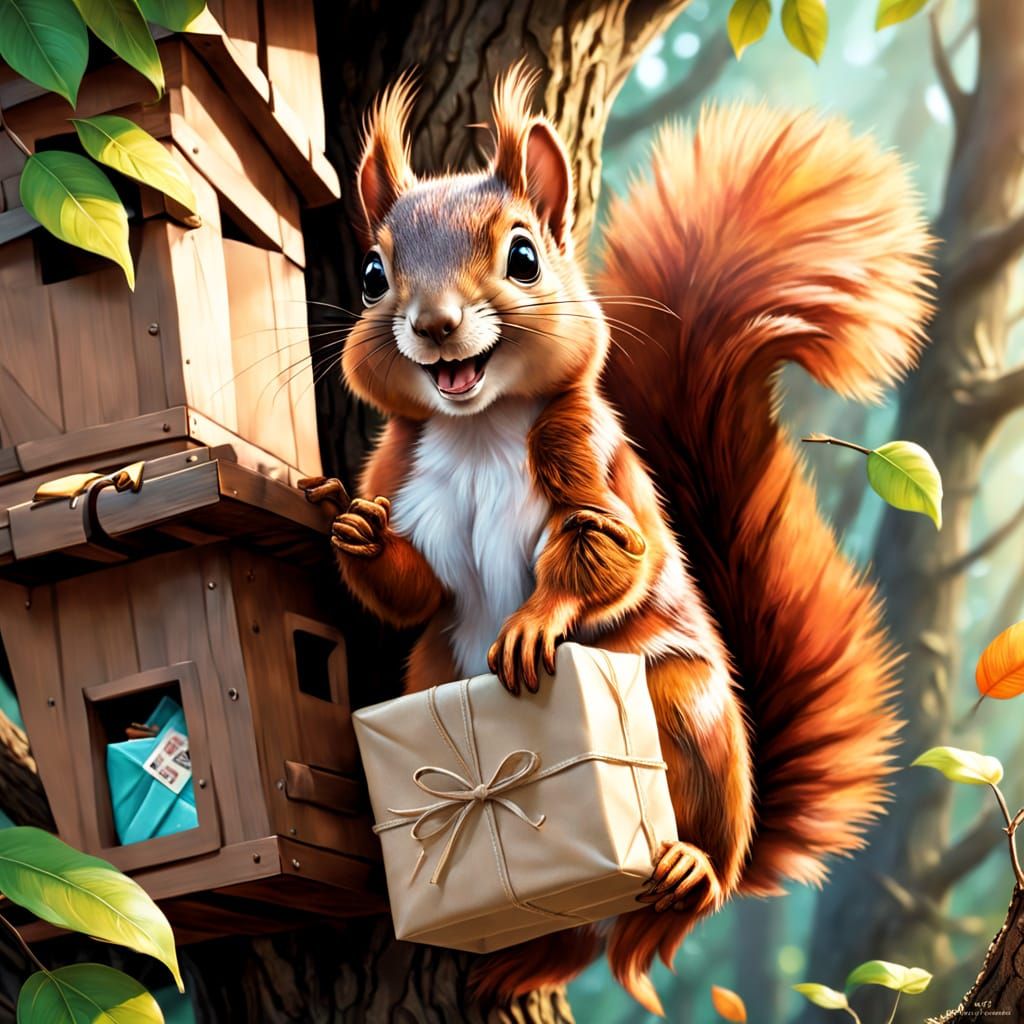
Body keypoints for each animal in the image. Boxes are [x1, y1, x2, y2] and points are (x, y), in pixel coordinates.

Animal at [300, 65, 932, 1014]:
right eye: (375, 275)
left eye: (524, 257)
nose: (435, 325)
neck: (477, 430)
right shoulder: (398, 470)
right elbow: (419, 592)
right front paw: (354, 531)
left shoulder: (593, 465)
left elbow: (610, 556)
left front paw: (534, 623)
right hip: (436, 675)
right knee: (576, 941)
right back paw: (517, 959)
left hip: (688, 716)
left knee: (678, 900)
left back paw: (685, 869)